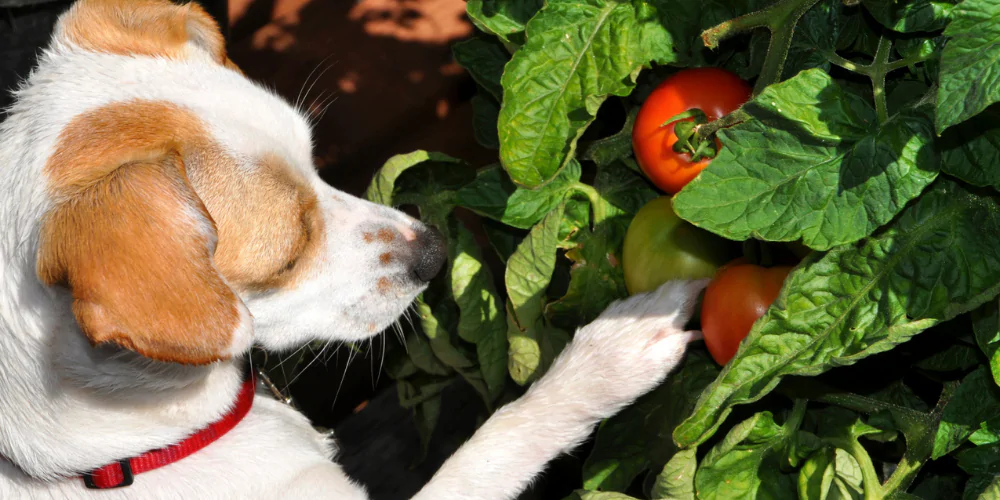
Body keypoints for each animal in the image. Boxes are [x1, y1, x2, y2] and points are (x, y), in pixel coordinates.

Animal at [0, 1, 704, 498]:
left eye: (318, 162)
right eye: (287, 259)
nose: (435, 252)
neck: (116, 454)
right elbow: (497, 440)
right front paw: (610, 357)